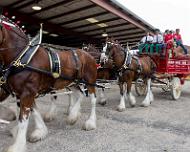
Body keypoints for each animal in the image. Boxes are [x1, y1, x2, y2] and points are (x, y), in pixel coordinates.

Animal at [0, 15, 97, 152]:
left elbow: (23, 119)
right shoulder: (22, 93)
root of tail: (89, 55)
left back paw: (89, 122)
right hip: (73, 82)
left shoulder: (27, 93)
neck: (21, 56)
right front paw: (40, 131)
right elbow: (34, 111)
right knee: (79, 94)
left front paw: (17, 145)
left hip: (90, 81)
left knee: (92, 99)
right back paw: (73, 115)